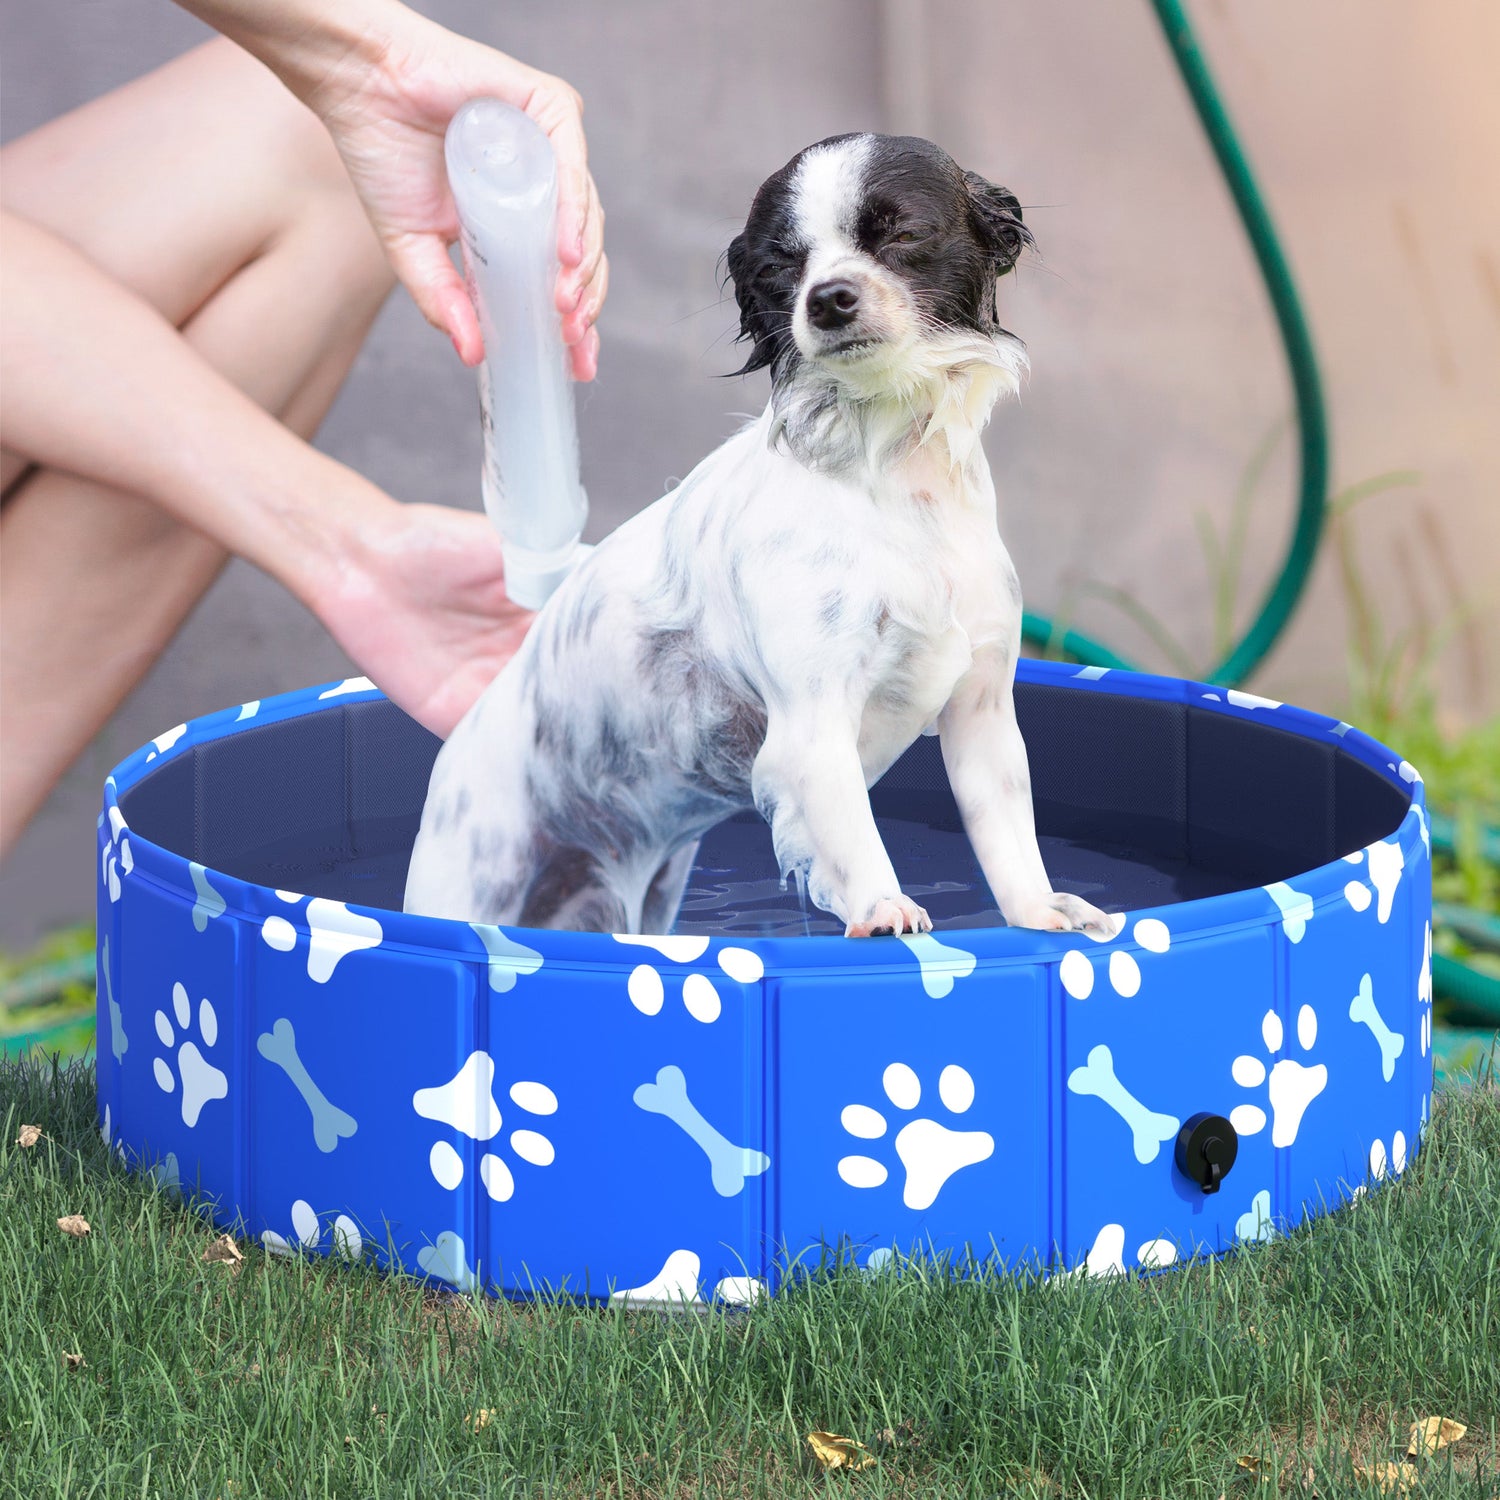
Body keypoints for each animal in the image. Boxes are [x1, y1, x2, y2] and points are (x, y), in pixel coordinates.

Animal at [405, 135, 1122, 942]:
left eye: (901, 234)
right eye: (781, 268)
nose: (828, 297)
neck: (888, 477)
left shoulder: (983, 711)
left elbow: (1007, 832)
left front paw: (1039, 909)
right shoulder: (813, 724)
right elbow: (852, 832)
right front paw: (882, 906)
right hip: (467, 889)